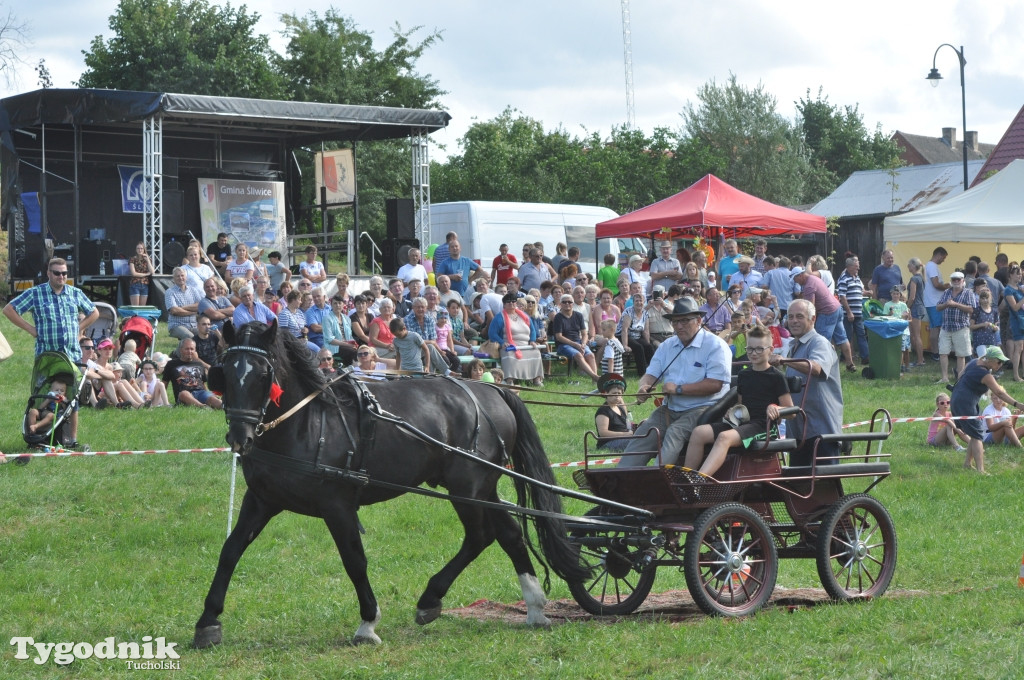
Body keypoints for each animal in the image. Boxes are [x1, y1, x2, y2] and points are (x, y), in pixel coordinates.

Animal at [194, 321, 589, 647]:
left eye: (264, 373)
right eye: (225, 371)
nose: (240, 437)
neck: (306, 421)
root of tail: (494, 392)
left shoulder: (337, 505)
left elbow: (354, 560)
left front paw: (368, 623)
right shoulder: (262, 499)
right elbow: (230, 551)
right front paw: (208, 622)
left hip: (467, 487)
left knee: (480, 536)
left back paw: (431, 599)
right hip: (482, 488)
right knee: (509, 534)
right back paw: (535, 608)